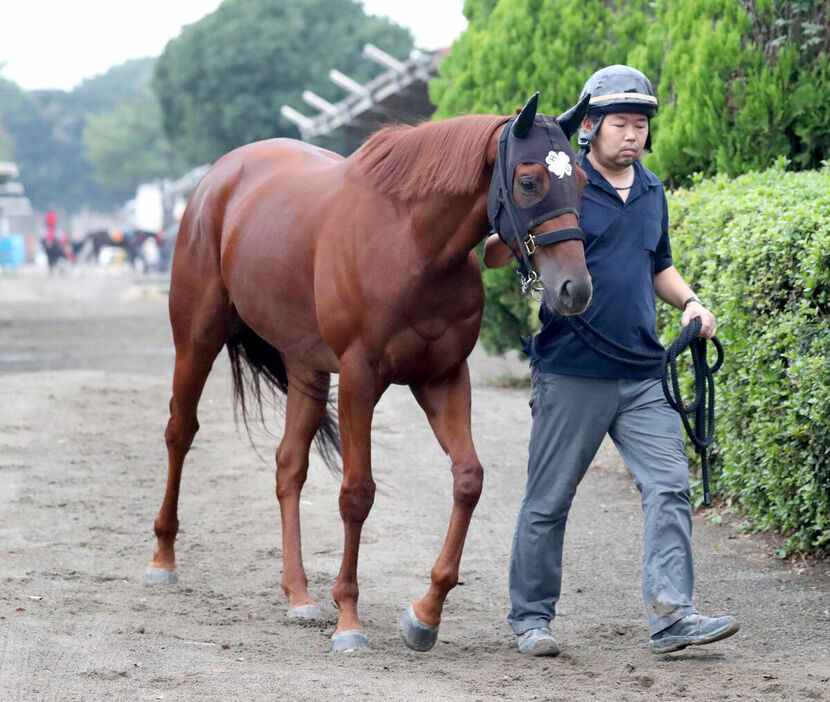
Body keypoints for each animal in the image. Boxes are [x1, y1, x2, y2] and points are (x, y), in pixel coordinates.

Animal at [146, 93, 596, 656]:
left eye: (582, 180)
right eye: (530, 181)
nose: (574, 289)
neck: (412, 244)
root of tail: (219, 177)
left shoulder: (444, 379)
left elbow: (468, 479)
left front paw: (425, 615)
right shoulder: (361, 378)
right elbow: (357, 493)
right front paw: (348, 620)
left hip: (306, 366)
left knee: (289, 465)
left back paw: (299, 595)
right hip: (198, 338)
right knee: (179, 432)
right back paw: (163, 558)